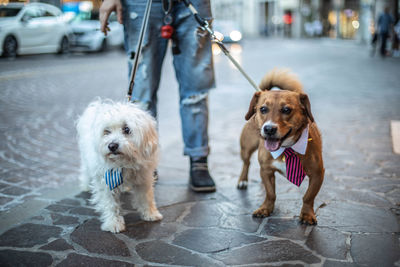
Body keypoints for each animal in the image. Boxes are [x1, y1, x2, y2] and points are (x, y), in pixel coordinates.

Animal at [76, 99, 162, 233]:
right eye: (106, 131)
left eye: (126, 129)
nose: (112, 146)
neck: (124, 163)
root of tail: (96, 105)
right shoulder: (106, 181)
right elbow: (110, 204)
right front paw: (113, 223)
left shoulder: (144, 178)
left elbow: (146, 198)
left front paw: (151, 213)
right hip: (86, 159)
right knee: (85, 171)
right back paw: (85, 186)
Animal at [238, 68, 324, 224]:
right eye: (263, 109)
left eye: (286, 110)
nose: (269, 129)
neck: (286, 148)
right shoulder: (266, 170)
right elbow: (270, 193)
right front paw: (265, 208)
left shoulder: (317, 174)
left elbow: (308, 196)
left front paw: (307, 214)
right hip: (246, 147)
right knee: (246, 163)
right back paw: (242, 180)